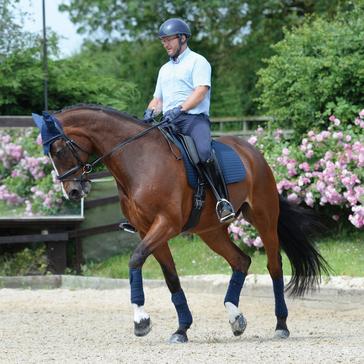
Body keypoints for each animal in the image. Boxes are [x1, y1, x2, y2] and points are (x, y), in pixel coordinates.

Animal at [33, 104, 330, 344]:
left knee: (274, 266)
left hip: (263, 218)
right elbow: (171, 277)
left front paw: (141, 320)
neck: (138, 160)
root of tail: (252, 151)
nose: (72, 192)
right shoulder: (148, 229)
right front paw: (182, 329)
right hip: (211, 231)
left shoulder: (166, 224)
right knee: (241, 261)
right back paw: (236, 317)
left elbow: (135, 259)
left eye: (58, 150)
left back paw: (281, 325)